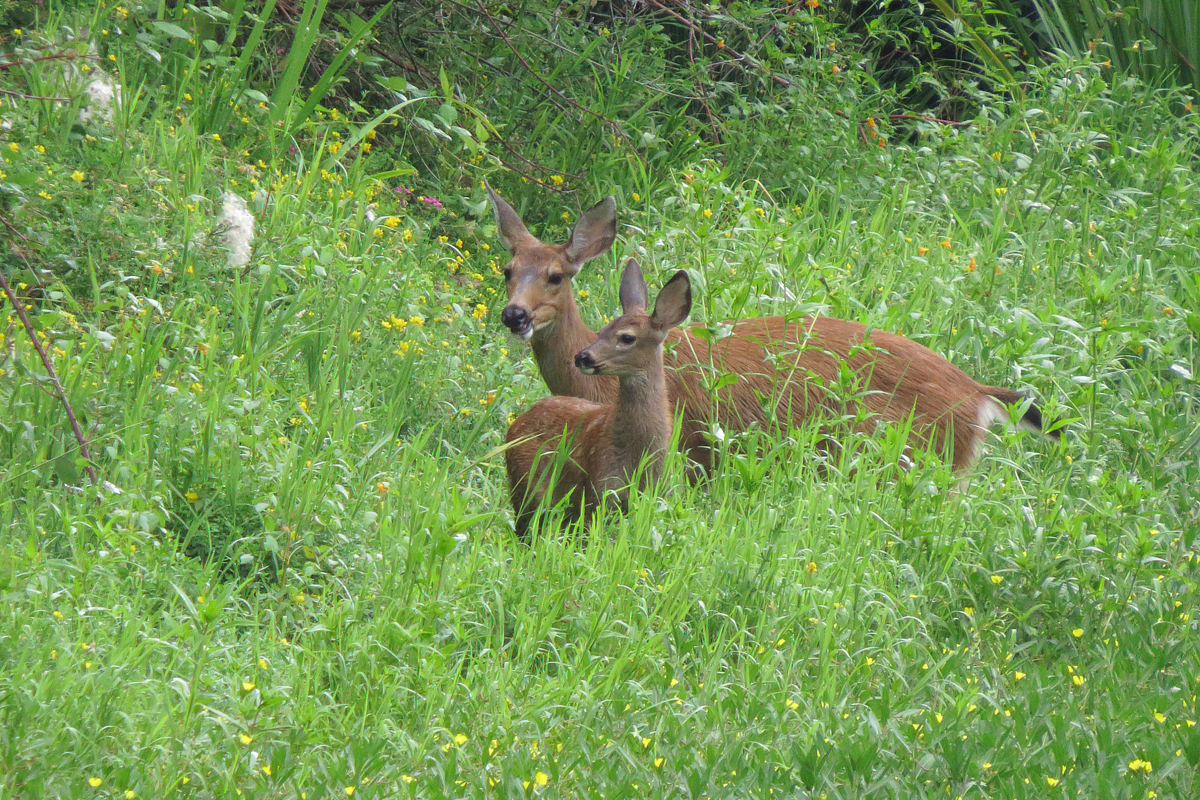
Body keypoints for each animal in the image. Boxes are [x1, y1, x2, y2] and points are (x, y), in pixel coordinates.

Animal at [487, 184, 1060, 478]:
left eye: (557, 275)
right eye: (508, 269)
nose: (514, 315)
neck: (598, 395)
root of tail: (978, 392)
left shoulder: (689, 452)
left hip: (905, 455)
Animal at [505, 260, 691, 539]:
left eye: (627, 337)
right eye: (602, 330)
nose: (582, 356)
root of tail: (514, 425)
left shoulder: (654, 493)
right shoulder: (599, 489)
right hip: (524, 486)